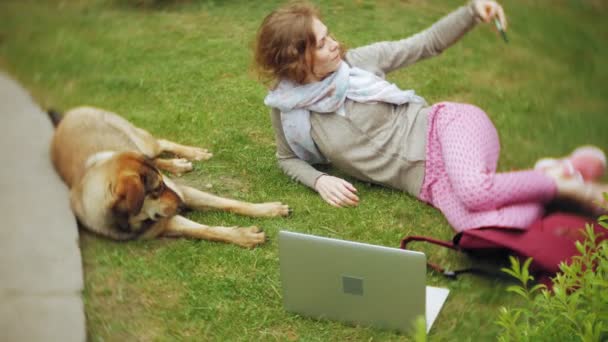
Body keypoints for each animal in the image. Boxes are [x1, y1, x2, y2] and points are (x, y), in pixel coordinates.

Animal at [48, 105, 290, 247]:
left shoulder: (184, 191)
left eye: (161, 186)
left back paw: (191, 155)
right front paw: (244, 236)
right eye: (156, 190)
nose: (183, 205)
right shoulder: (165, 223)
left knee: (160, 144)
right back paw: (178, 164)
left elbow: (230, 202)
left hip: (140, 141)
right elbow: (206, 230)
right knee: (155, 157)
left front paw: (269, 209)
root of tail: (69, 113)